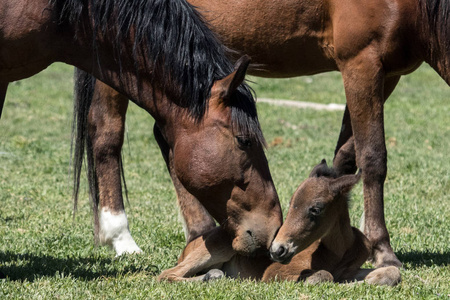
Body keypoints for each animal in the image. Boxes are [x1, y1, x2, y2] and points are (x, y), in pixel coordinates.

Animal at [75, 0, 450, 268]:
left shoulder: (387, 74)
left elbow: (345, 157)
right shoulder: (361, 62)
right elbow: (372, 158)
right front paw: (382, 250)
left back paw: (198, 230)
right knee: (107, 135)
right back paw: (121, 237)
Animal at [158, 161, 400, 284]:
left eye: (316, 209)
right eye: (291, 203)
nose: (277, 249)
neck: (338, 253)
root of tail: (190, 244)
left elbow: (391, 273)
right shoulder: (275, 273)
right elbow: (324, 275)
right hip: (218, 248)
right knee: (167, 274)